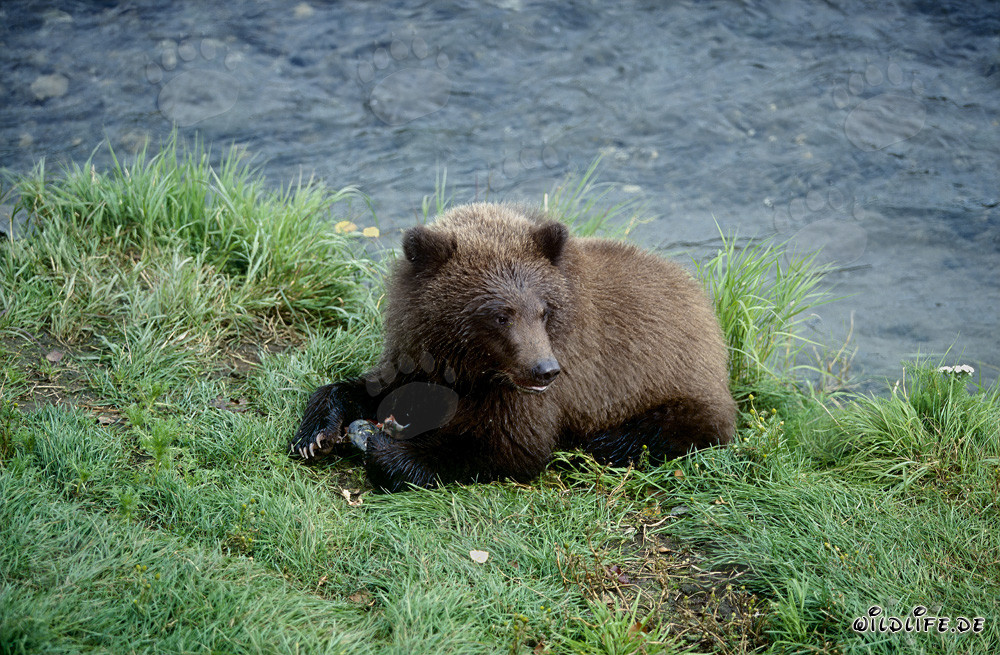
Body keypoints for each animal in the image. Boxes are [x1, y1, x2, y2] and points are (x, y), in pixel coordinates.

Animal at [290, 203, 735, 491]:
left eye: (542, 310)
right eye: (500, 315)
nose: (545, 369)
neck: (470, 366)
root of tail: (704, 304)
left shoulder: (539, 391)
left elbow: (508, 446)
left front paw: (387, 449)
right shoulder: (418, 351)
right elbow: (372, 386)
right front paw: (316, 434)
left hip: (677, 388)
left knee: (662, 431)